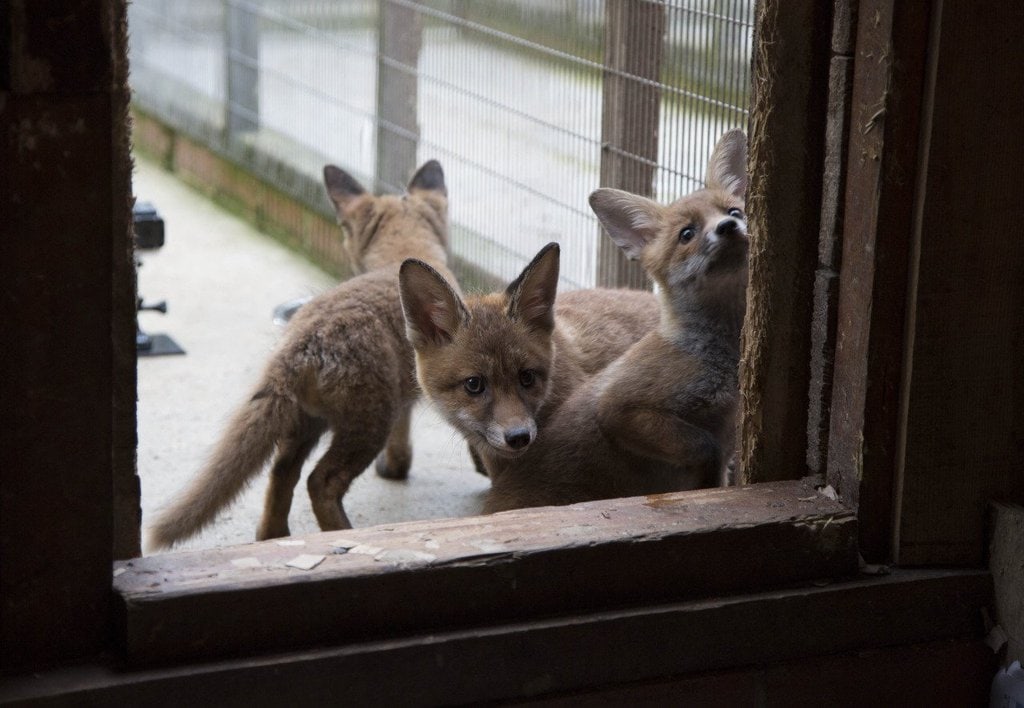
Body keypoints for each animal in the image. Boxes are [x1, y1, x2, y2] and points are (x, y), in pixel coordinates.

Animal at [147, 160, 455, 550]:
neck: (400, 253)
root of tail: (299, 346)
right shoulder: (416, 387)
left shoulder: (407, 387)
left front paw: (395, 468)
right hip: (366, 424)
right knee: (320, 481)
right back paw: (346, 536)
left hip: (303, 424)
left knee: (281, 474)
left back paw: (274, 537)